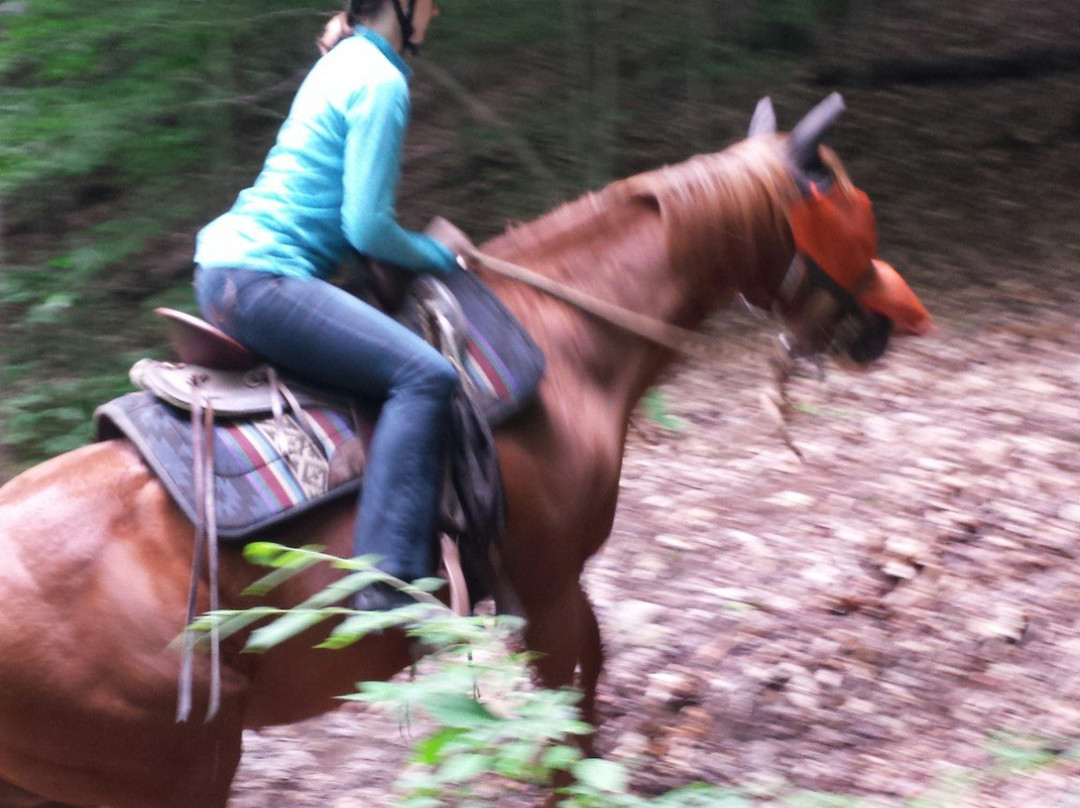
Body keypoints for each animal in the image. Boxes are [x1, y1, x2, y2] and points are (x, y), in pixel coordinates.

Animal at [0, 96, 928, 808]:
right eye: (849, 206)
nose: (893, 323)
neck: (565, 336)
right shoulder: (545, 586)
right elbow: (568, 725)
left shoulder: (543, 588)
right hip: (176, 770)